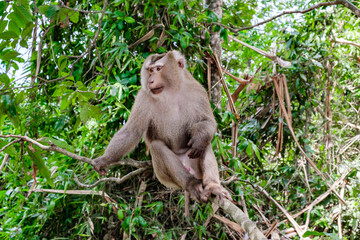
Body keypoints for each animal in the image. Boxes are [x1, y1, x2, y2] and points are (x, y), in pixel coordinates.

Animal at [92, 51, 231, 203]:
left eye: (158, 69)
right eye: (150, 70)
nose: (150, 81)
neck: (171, 91)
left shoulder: (198, 91)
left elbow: (208, 122)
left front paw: (200, 135)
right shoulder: (143, 97)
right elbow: (131, 132)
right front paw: (105, 160)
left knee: (204, 144)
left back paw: (212, 186)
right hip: (164, 177)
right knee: (157, 146)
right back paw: (191, 183)